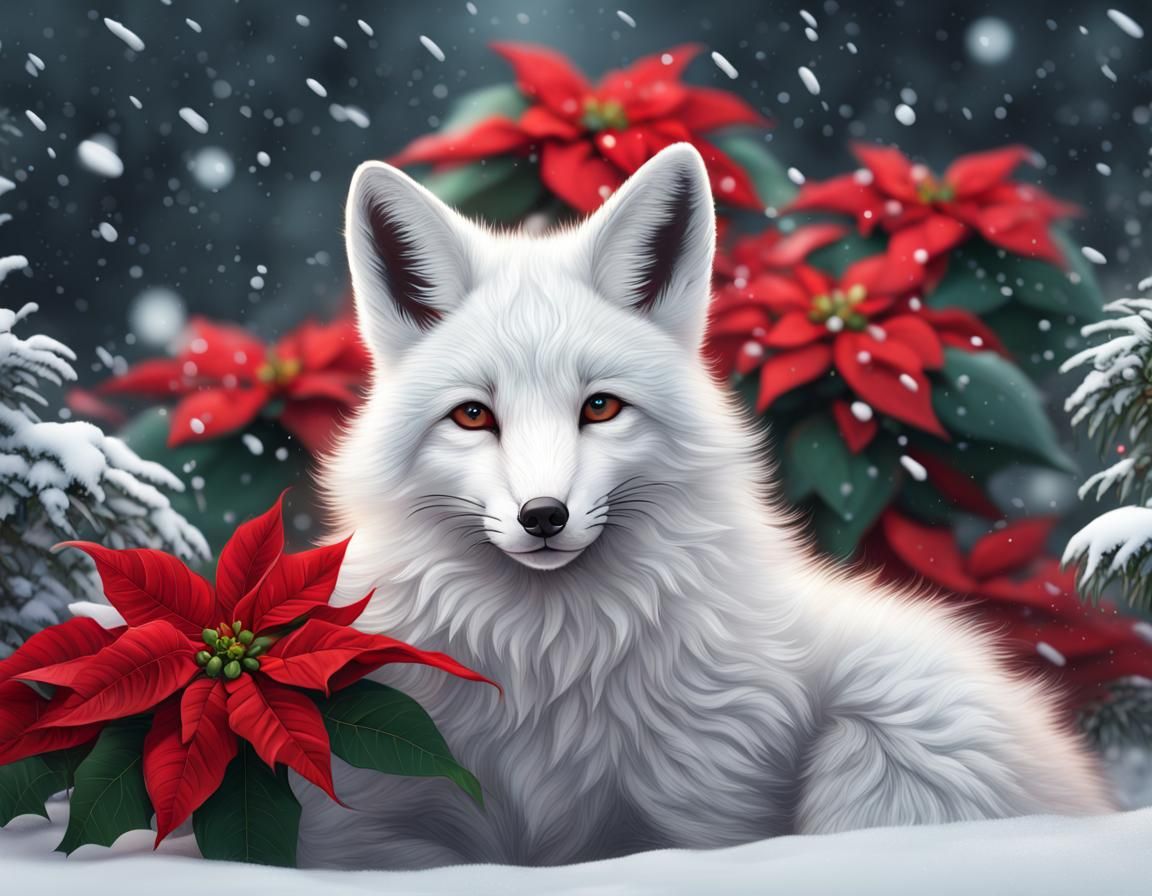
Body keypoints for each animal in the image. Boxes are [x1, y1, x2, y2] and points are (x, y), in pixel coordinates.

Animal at [299, 144, 1112, 868]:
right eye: (473, 416)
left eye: (600, 407)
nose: (544, 516)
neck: (545, 671)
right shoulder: (366, 803)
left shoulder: (710, 805)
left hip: (893, 734)